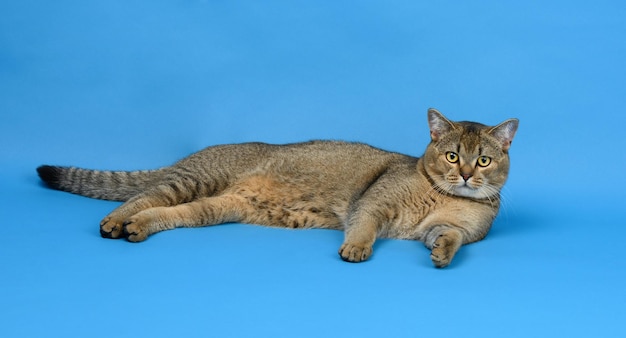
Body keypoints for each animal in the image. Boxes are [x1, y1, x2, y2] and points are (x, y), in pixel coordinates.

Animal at [36, 109, 520, 268]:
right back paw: (115, 221)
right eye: (452, 156)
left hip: (217, 206)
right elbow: (363, 225)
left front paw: (442, 255)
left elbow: (448, 237)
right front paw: (356, 248)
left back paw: (135, 228)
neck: (445, 196)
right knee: (145, 195)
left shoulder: (449, 228)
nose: (465, 175)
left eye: (483, 160)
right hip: (194, 179)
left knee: (169, 212)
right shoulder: (374, 204)